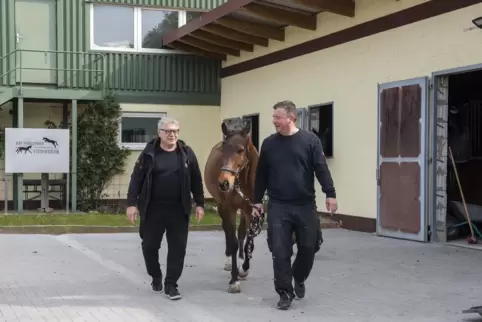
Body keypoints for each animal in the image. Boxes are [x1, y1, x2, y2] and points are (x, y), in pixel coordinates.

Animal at [203, 119, 264, 294]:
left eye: (240, 150)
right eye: (223, 150)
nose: (224, 183)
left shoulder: (251, 209)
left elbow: (249, 236)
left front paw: (244, 268)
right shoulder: (228, 208)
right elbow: (234, 241)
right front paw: (234, 280)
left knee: (241, 232)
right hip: (221, 205)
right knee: (227, 232)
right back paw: (229, 259)